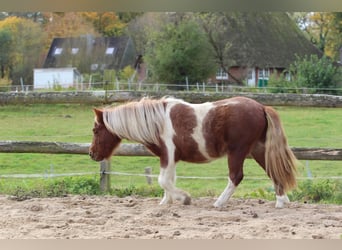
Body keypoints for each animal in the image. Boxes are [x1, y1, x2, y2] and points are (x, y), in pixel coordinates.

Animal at [89, 96, 296, 208]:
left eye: (95, 130)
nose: (92, 154)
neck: (158, 122)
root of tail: (261, 107)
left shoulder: (168, 155)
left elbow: (163, 180)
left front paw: (184, 198)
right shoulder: (170, 158)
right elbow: (168, 181)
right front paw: (166, 202)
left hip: (238, 152)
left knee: (236, 177)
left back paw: (219, 203)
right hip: (258, 150)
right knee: (273, 172)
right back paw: (282, 201)